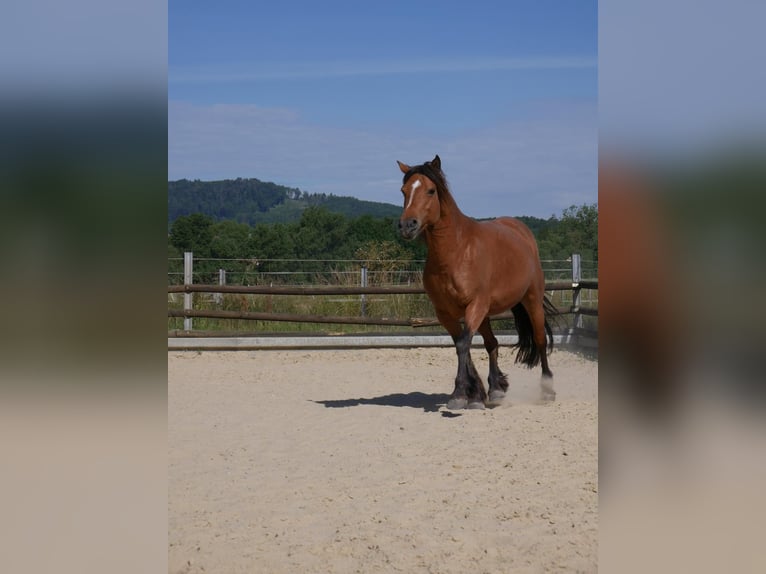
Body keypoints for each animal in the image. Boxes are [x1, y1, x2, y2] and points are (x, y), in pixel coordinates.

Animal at [396, 155, 557, 410]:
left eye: (431, 191)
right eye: (403, 191)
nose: (407, 225)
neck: (456, 252)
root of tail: (522, 233)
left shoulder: (475, 305)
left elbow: (463, 344)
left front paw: (459, 394)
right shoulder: (445, 313)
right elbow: (462, 345)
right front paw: (473, 394)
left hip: (530, 300)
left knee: (540, 339)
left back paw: (547, 390)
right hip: (487, 314)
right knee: (492, 343)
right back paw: (496, 389)